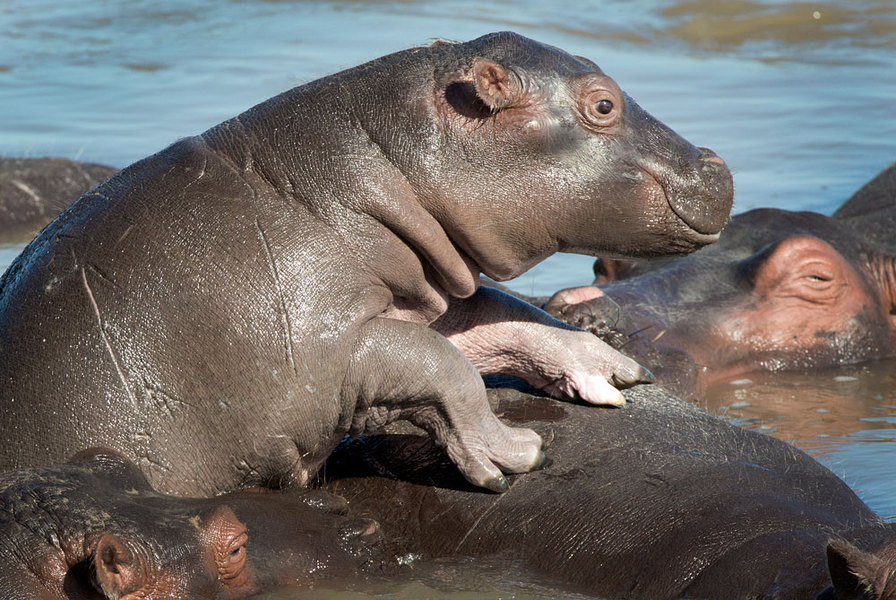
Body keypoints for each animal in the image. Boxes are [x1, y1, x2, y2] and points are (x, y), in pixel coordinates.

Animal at [0, 30, 732, 494]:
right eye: (603, 103)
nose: (717, 165)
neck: (375, 169)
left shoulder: (421, 295)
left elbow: (498, 319)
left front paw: (609, 370)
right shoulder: (321, 359)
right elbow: (442, 365)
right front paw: (516, 455)